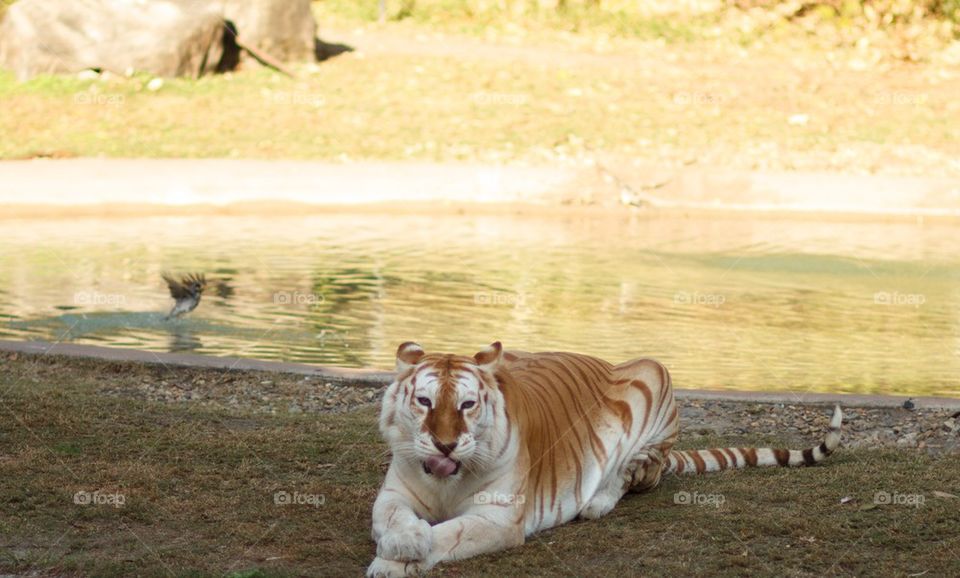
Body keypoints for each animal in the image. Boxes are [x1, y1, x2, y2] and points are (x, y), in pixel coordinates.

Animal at [368, 340, 840, 572]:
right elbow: (393, 517)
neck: (446, 480)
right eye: (425, 401)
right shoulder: (394, 493)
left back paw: (594, 502)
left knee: (630, 476)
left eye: (467, 405)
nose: (445, 445)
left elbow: (449, 535)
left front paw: (392, 562)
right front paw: (403, 540)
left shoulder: (496, 518)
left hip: (655, 379)